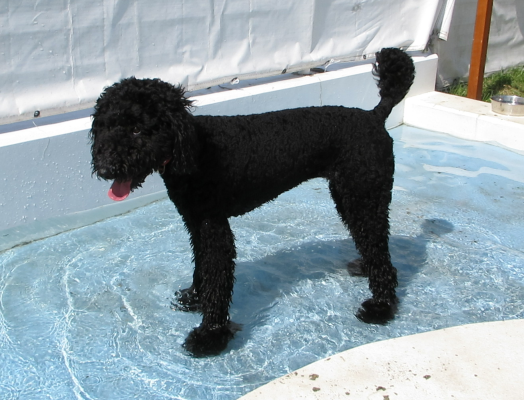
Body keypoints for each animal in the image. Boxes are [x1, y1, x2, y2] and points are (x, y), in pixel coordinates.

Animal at [90, 48, 415, 357]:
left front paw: (210, 336)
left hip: (365, 195)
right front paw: (195, 299)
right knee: (373, 245)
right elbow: (201, 267)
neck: (194, 148)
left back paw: (380, 307)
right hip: (350, 197)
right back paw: (366, 269)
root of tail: (374, 116)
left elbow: (217, 277)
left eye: (137, 128)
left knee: (379, 251)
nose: (104, 168)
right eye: (104, 126)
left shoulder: (214, 227)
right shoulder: (196, 222)